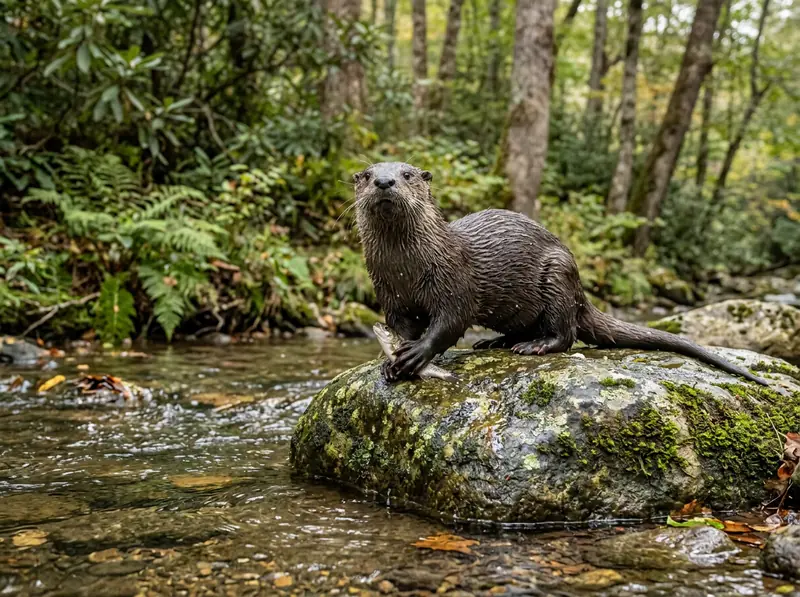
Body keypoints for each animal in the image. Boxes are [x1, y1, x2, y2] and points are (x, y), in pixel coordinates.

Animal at [353, 161, 767, 386]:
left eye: (407, 174)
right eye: (368, 174)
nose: (385, 181)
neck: (406, 268)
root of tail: (582, 291)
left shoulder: (453, 281)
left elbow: (450, 322)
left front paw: (415, 355)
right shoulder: (390, 295)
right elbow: (401, 326)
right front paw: (392, 361)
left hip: (557, 276)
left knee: (566, 334)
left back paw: (534, 346)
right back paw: (494, 343)